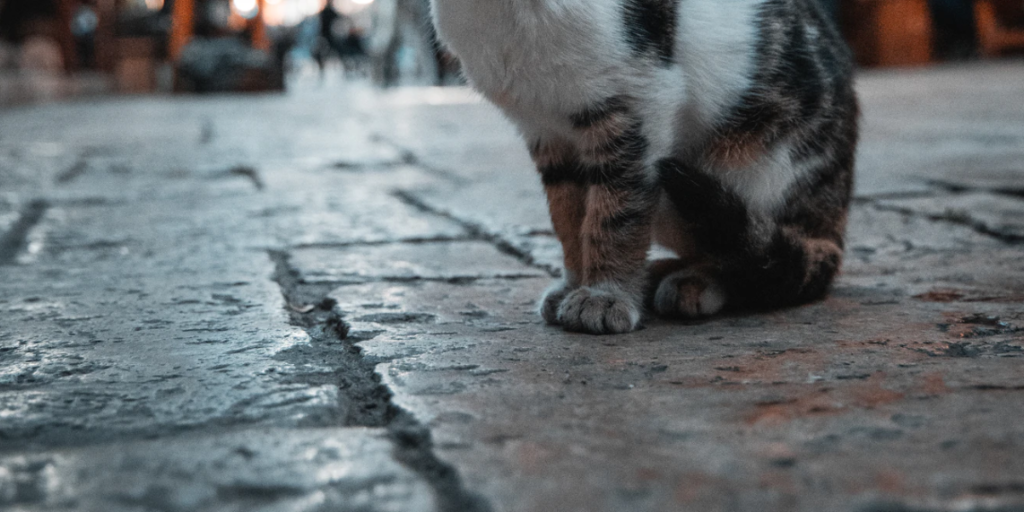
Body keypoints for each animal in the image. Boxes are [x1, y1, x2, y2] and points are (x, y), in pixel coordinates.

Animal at [428, 0, 860, 333]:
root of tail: (832, 224)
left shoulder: (642, 100)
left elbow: (616, 213)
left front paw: (606, 294)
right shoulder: (546, 130)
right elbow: (569, 218)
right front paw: (576, 281)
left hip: (748, 164)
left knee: (754, 249)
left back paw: (694, 280)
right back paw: (658, 272)